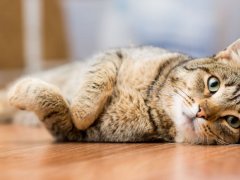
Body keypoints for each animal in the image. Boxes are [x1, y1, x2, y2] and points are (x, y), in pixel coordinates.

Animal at [1, 39, 240, 145]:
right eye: (213, 84)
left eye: (233, 121)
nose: (201, 112)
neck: (149, 100)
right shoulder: (114, 54)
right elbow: (97, 83)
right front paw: (81, 110)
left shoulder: (72, 131)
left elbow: (56, 104)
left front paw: (21, 91)